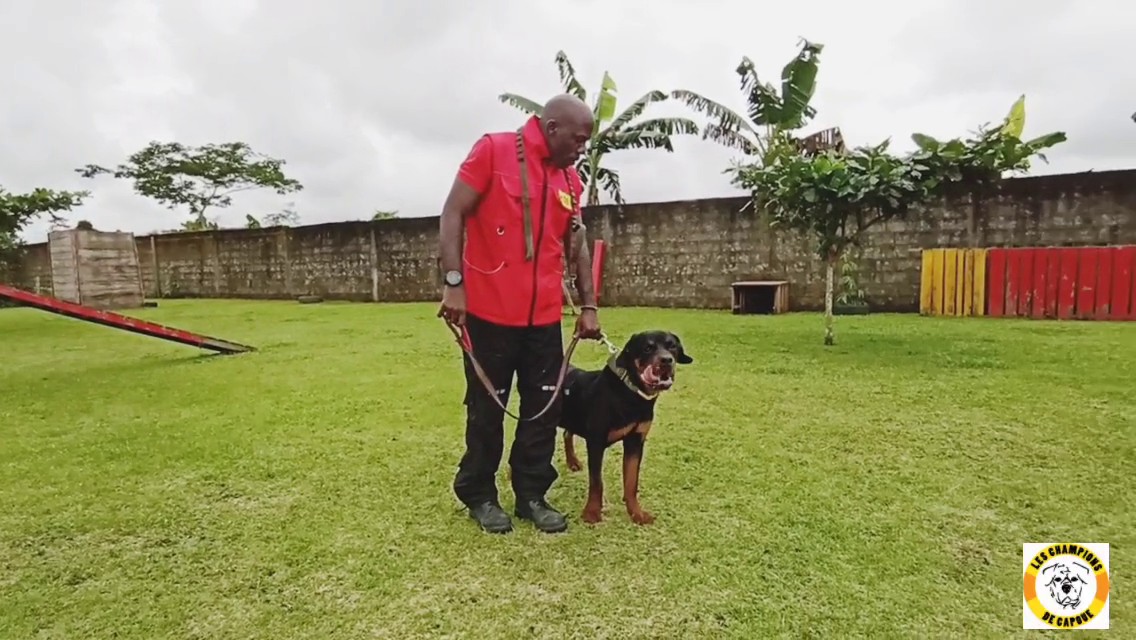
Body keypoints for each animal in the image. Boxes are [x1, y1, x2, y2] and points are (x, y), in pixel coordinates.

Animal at [558, 329, 690, 525]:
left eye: (672, 346)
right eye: (647, 348)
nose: (667, 360)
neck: (630, 394)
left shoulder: (635, 441)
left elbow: (631, 482)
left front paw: (636, 513)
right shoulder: (596, 442)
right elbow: (596, 482)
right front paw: (592, 512)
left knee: (567, 432)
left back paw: (572, 461)